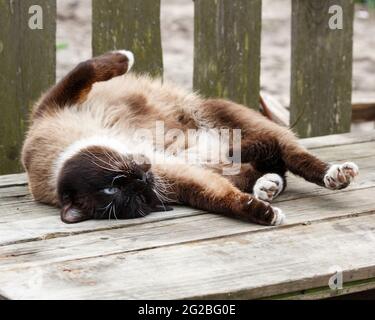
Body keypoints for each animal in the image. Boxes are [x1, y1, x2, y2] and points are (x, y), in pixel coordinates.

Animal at [21, 50, 362, 225]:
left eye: (112, 186)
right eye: (120, 193)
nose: (142, 177)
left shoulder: (52, 104)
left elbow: (86, 67)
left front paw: (126, 58)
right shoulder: (178, 178)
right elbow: (223, 199)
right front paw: (264, 214)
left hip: (228, 120)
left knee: (292, 154)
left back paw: (335, 175)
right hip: (219, 158)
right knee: (267, 167)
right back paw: (267, 187)